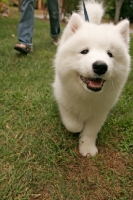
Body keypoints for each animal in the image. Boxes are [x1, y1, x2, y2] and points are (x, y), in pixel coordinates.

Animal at [52, 0, 130, 156]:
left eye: (110, 54)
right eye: (84, 51)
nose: (100, 66)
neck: (87, 96)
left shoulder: (99, 113)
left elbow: (90, 132)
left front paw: (87, 148)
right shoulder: (63, 101)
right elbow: (72, 124)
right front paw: (78, 126)